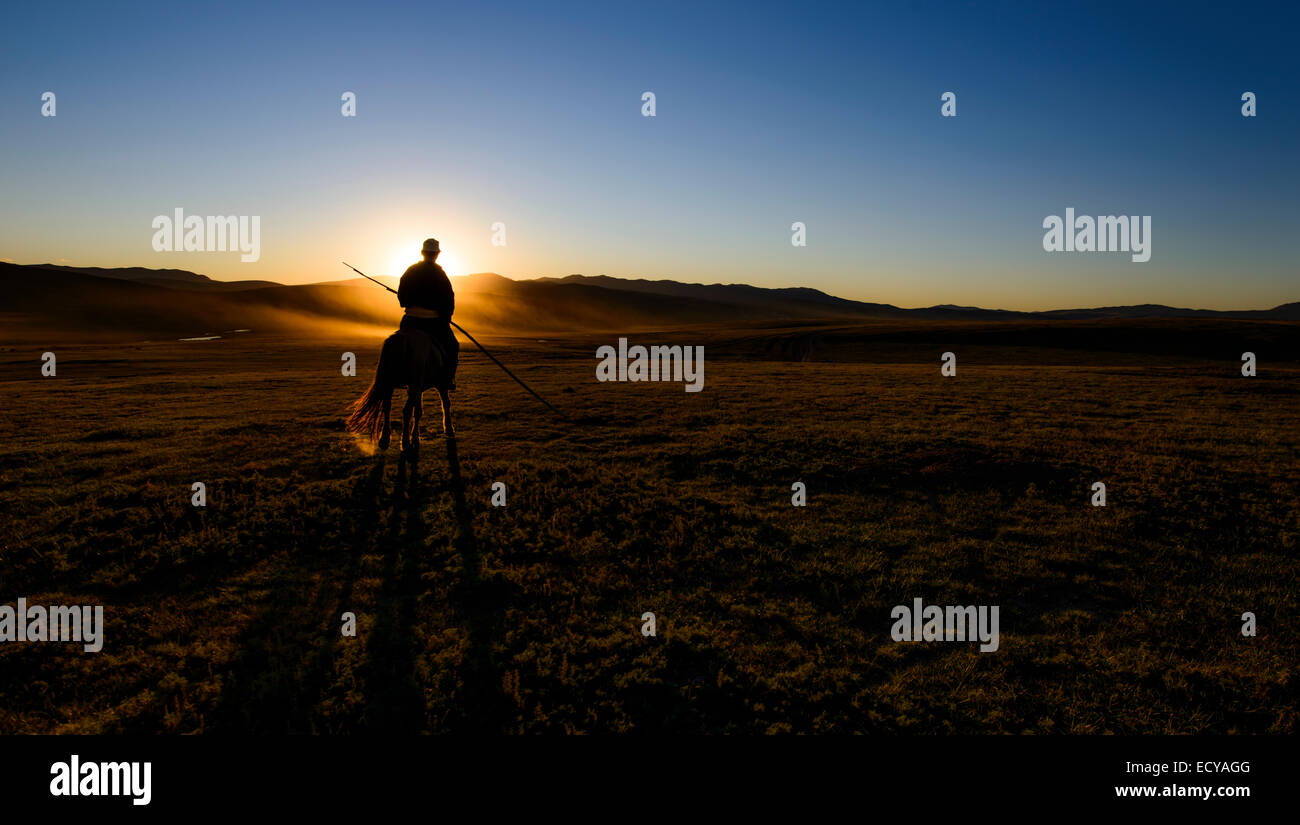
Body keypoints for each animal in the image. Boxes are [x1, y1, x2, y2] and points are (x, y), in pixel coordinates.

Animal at [345, 328, 452, 457]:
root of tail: (401, 340)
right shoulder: (438, 385)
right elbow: (444, 404)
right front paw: (448, 429)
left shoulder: (417, 390)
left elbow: (418, 411)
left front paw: (415, 438)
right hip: (414, 385)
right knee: (406, 411)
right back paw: (405, 442)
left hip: (391, 384)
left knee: (387, 407)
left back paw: (384, 439)